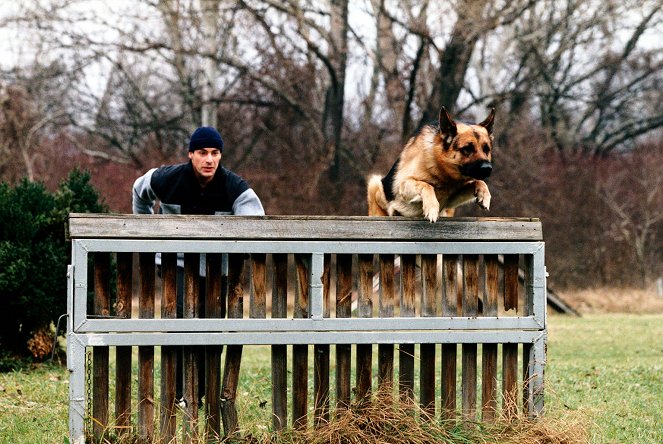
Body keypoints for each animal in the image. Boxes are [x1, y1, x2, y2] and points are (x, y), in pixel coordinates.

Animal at [366, 107, 496, 222]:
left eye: (486, 149)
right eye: (467, 149)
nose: (488, 168)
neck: (444, 175)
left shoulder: (451, 198)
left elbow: (478, 181)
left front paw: (484, 195)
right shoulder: (404, 183)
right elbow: (426, 185)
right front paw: (432, 208)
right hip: (375, 184)